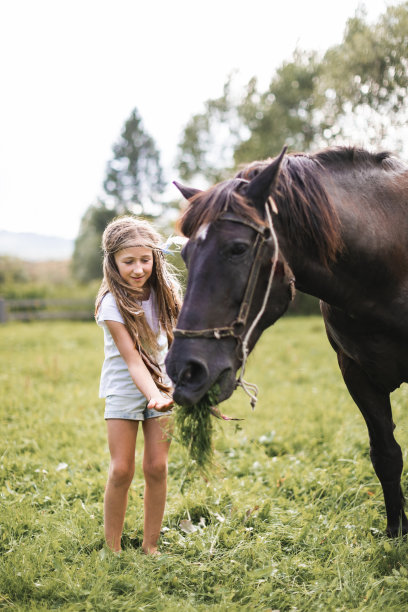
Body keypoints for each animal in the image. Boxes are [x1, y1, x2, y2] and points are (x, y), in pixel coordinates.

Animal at [166, 147, 408, 536]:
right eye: (186, 255)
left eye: (237, 249)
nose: (184, 371)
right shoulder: (356, 374)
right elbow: (386, 456)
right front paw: (397, 532)